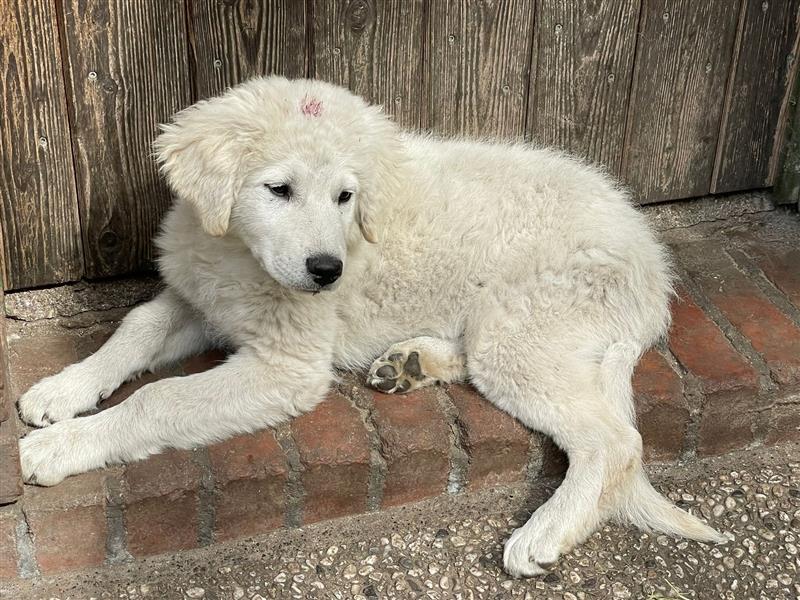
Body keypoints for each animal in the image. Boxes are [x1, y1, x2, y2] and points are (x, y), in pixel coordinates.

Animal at [17, 76, 724, 576]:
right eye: (278, 189)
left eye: (345, 197)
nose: (327, 271)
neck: (239, 256)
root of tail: (652, 263)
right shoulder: (202, 300)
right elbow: (134, 328)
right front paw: (59, 391)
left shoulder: (286, 367)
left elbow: (158, 399)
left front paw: (58, 447)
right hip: (509, 330)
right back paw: (411, 364)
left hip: (523, 329)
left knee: (616, 442)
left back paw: (544, 532)